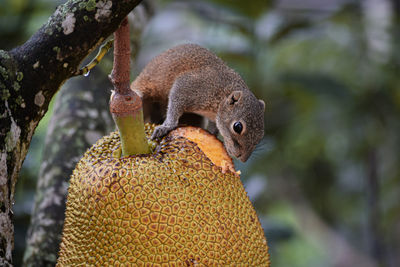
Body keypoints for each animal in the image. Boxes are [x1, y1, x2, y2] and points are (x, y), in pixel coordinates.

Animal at [130, 43, 266, 163]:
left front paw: (213, 135)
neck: (221, 96)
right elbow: (175, 102)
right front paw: (167, 126)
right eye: (237, 127)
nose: (242, 158)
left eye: (261, 135)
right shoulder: (192, 87)